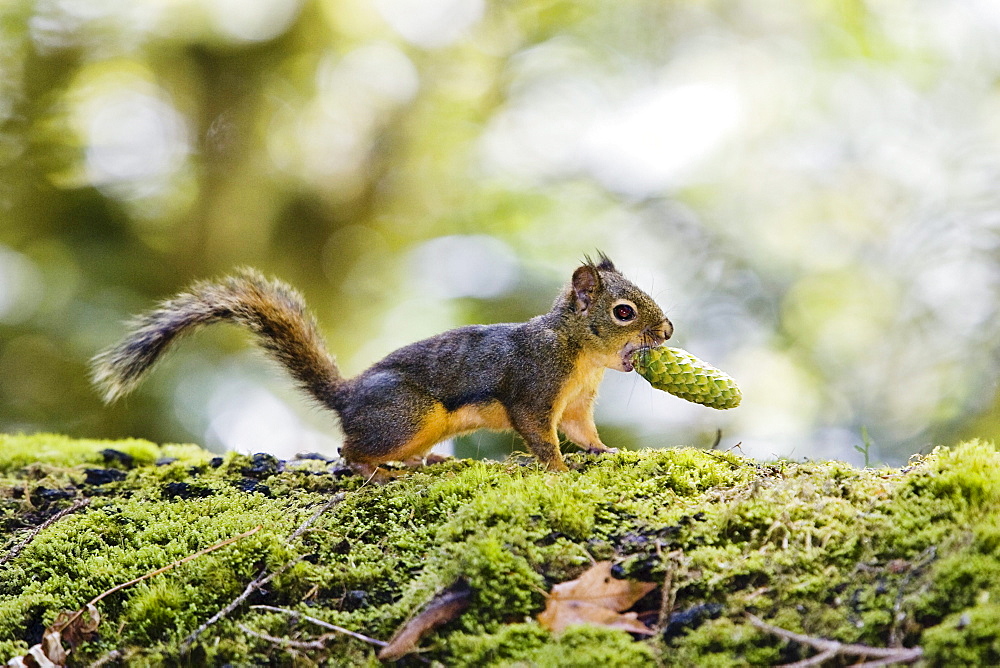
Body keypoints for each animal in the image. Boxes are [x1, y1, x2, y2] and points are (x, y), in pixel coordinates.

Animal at [92, 253, 672, 472]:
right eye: (623, 312)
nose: (667, 332)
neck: (579, 353)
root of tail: (347, 398)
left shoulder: (575, 403)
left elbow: (580, 431)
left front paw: (604, 450)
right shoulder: (535, 385)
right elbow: (540, 432)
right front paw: (557, 469)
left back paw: (421, 462)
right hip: (407, 415)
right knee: (348, 449)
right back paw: (374, 469)